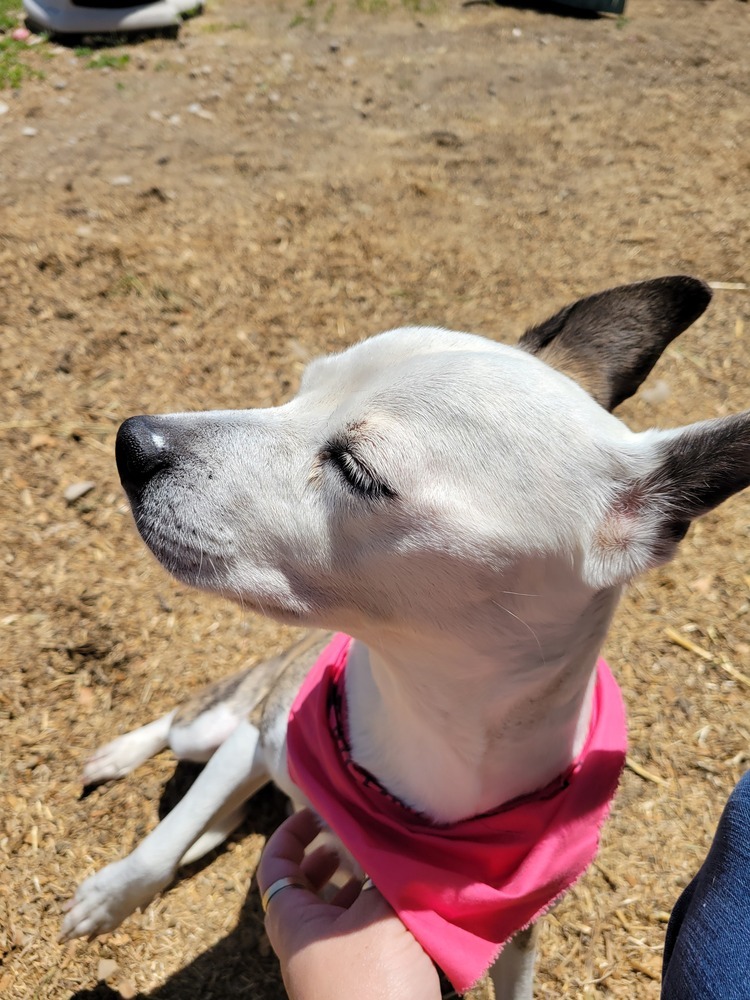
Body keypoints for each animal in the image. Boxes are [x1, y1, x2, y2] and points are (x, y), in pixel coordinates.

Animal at [60, 276, 750, 1000]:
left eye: (358, 470)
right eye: (301, 388)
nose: (133, 444)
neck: (419, 717)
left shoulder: (516, 936)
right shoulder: (259, 735)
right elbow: (161, 843)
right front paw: (110, 895)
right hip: (221, 723)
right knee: (178, 732)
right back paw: (120, 757)